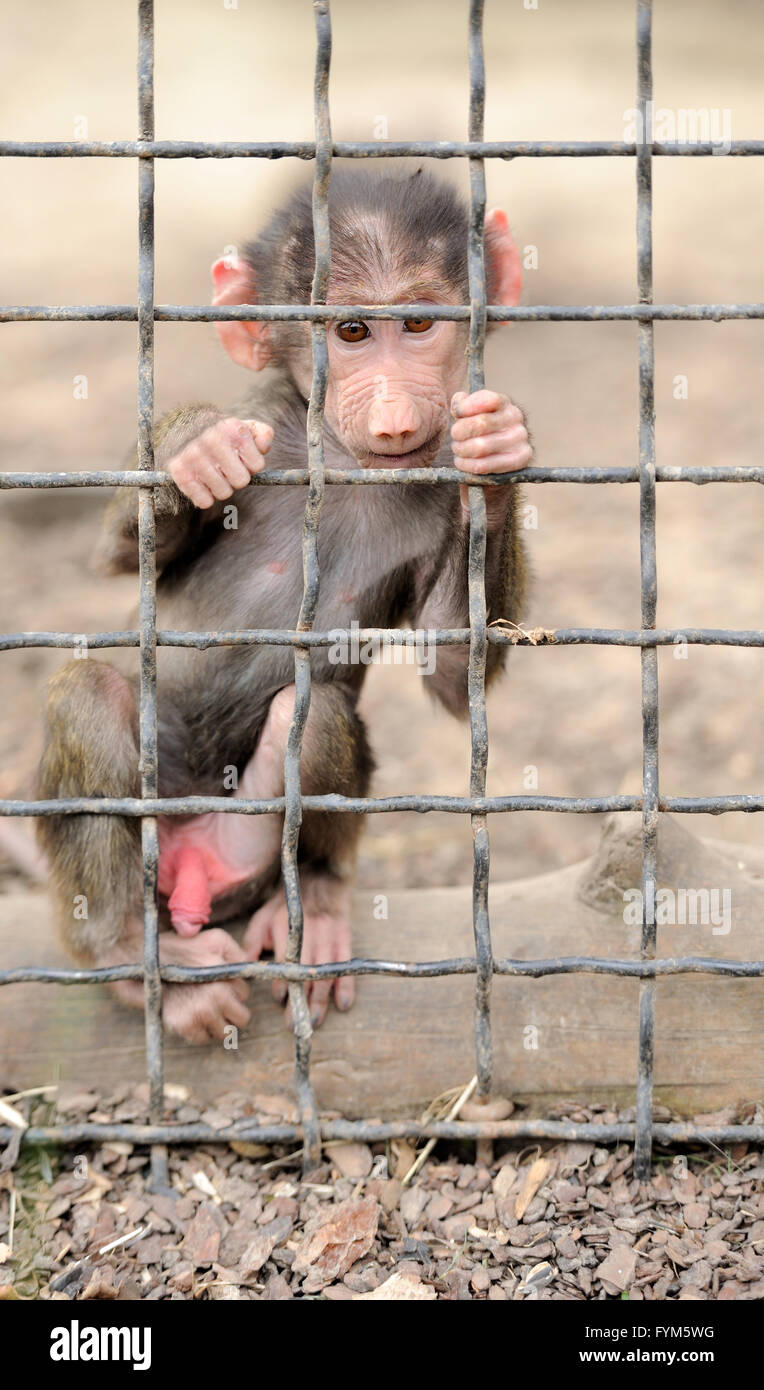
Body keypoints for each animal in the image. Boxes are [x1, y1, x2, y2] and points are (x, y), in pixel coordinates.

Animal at [36, 169, 532, 1045]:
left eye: (418, 322)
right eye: (351, 331)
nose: (395, 413)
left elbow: (451, 668)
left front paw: (497, 457)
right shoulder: (266, 426)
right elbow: (117, 558)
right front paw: (192, 446)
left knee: (320, 710)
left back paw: (320, 901)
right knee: (87, 693)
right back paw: (132, 954)